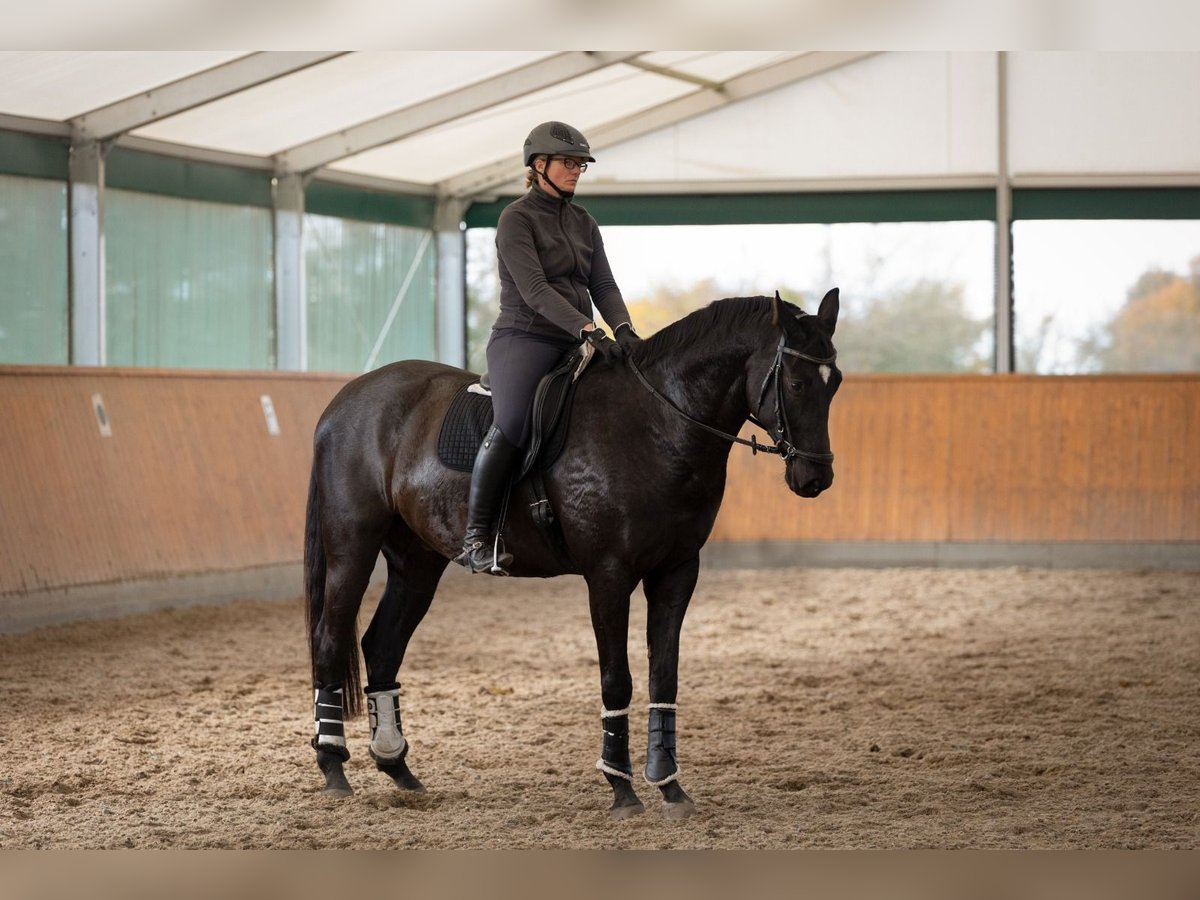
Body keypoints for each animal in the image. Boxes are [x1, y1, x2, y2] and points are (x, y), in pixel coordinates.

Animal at [304, 289, 840, 816]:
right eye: (795, 382)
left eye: (833, 384)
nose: (815, 478)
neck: (658, 425)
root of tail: (345, 401)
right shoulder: (608, 574)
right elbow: (617, 679)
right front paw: (621, 788)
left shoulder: (677, 571)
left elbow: (664, 677)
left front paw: (669, 786)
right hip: (352, 547)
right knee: (331, 639)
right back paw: (333, 767)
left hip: (417, 562)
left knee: (381, 646)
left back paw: (398, 768)